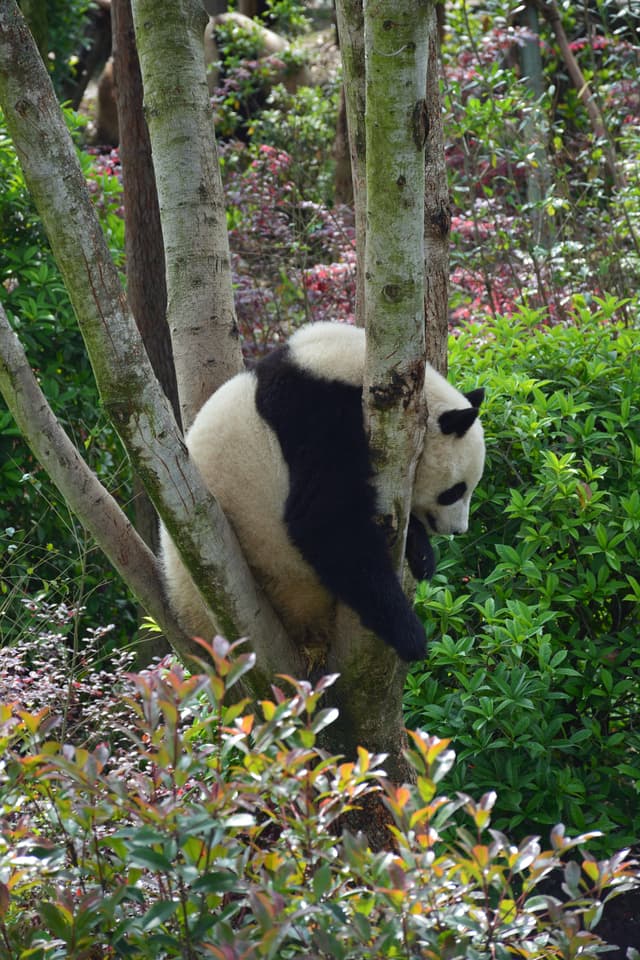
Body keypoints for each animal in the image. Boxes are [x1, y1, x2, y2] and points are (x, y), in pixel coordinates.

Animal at [160, 322, 485, 663]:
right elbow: (325, 522)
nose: (458, 529)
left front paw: (422, 556)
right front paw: (411, 636)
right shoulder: (315, 416)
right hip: (280, 573)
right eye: (455, 491)